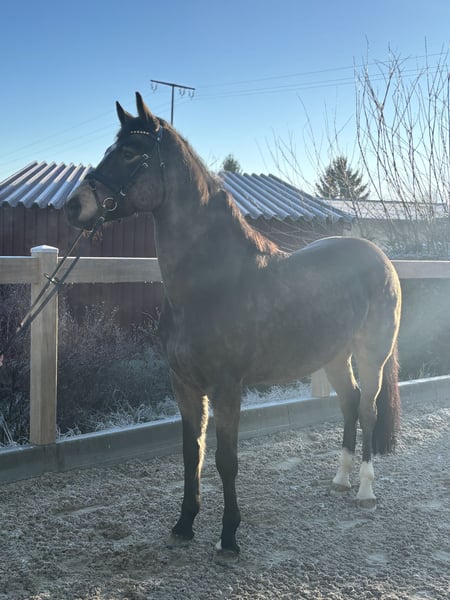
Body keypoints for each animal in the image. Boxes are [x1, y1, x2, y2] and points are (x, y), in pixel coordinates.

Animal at [65, 92, 402, 556]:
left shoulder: (227, 386)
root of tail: (380, 257)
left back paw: (366, 490)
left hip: (372, 355)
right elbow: (192, 453)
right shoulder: (184, 385)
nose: (73, 206)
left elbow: (226, 460)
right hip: (334, 356)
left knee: (368, 409)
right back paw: (340, 480)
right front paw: (184, 524)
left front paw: (229, 536)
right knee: (349, 404)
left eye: (131, 153)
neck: (211, 284)